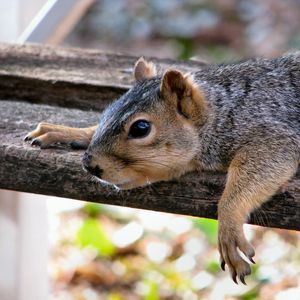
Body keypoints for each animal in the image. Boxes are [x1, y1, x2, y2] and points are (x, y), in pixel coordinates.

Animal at [24, 55, 300, 284]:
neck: (222, 112)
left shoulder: (273, 134)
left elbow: (265, 164)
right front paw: (65, 131)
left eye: (141, 128)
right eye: (105, 114)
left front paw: (228, 228)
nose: (90, 165)